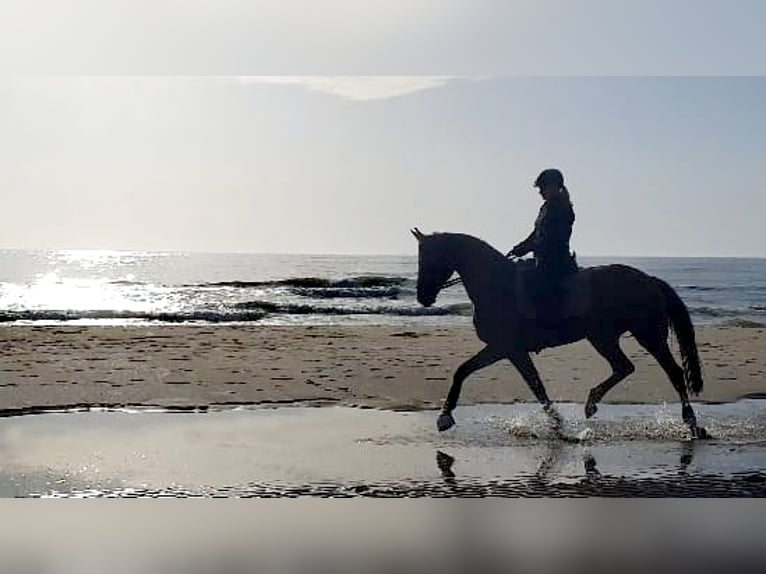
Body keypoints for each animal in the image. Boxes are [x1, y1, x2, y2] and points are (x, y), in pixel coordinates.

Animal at [412, 230, 712, 440]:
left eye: (430, 258)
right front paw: (557, 423)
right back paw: (591, 403)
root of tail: (650, 280)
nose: (423, 297)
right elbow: (532, 385)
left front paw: (444, 418)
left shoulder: (505, 348)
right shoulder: (510, 351)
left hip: (648, 335)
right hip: (602, 337)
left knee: (673, 372)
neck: (497, 284)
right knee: (624, 367)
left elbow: (469, 372)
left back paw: (691, 424)